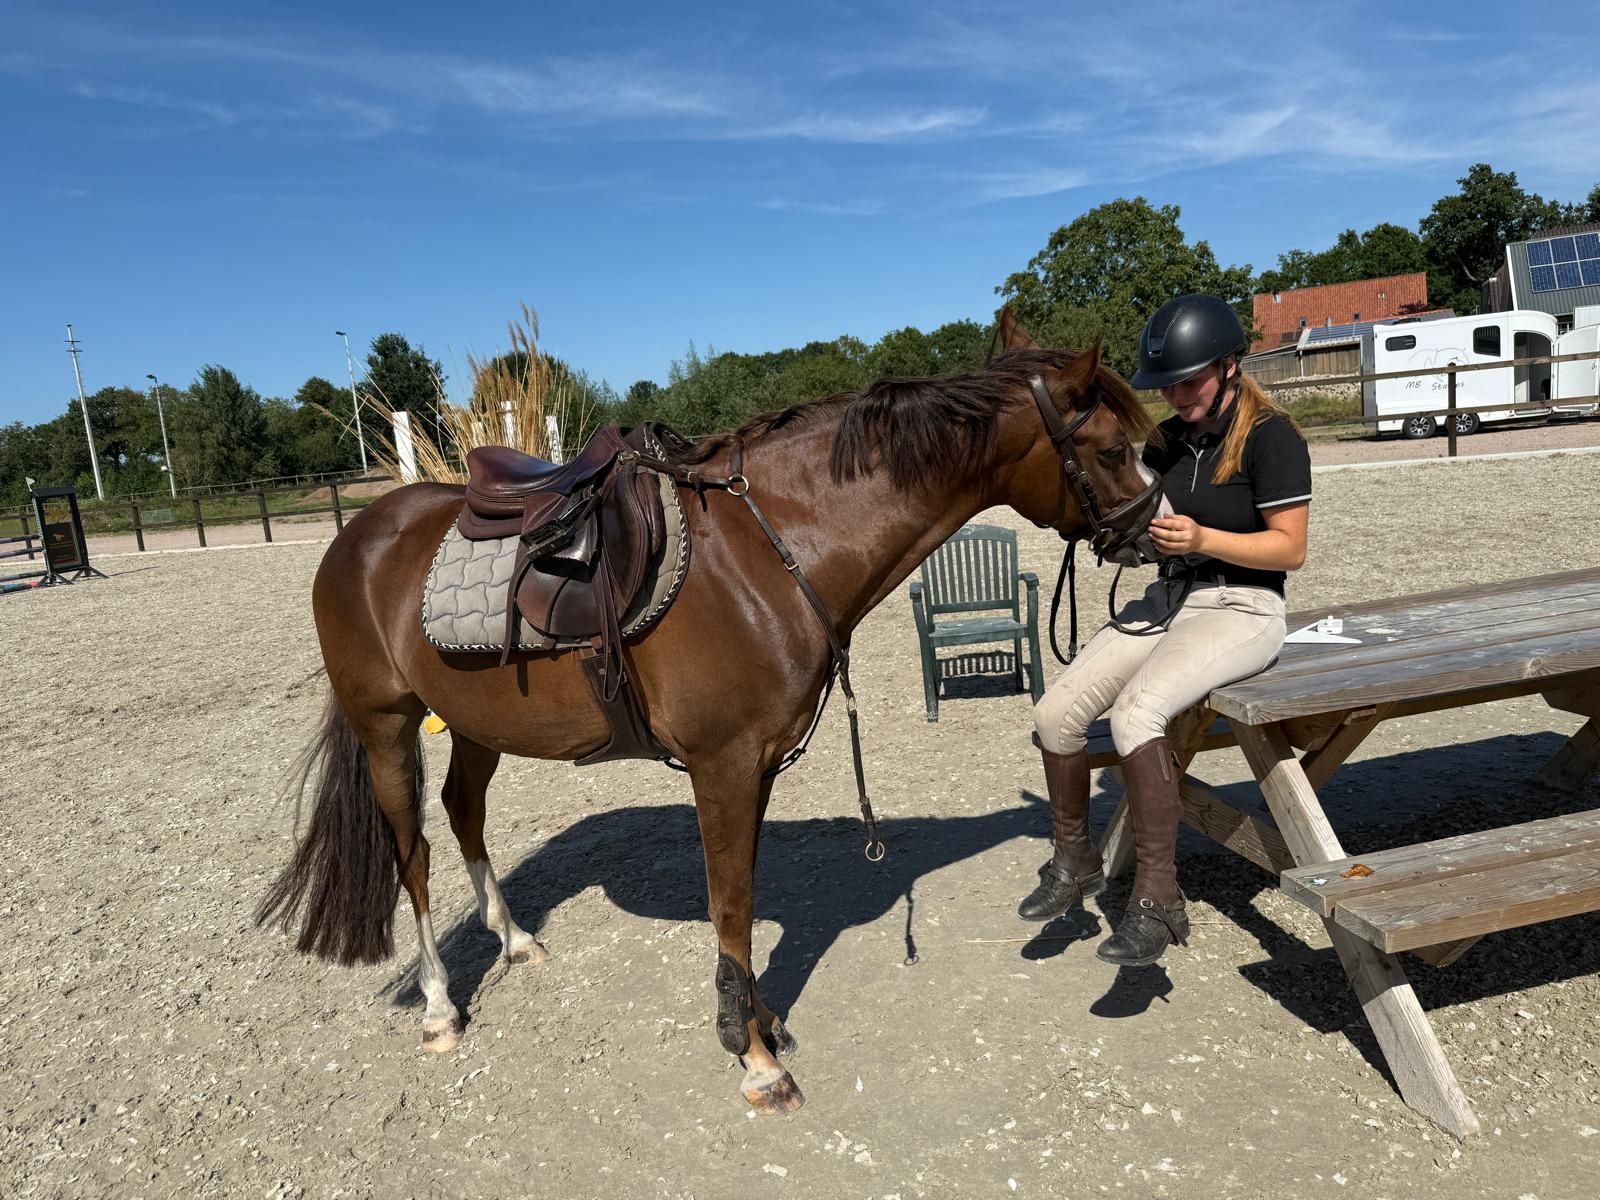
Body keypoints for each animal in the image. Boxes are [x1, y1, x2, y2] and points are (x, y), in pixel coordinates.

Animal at [256, 312, 1161, 1114]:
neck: (769, 551)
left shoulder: (755, 767)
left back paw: (514, 939)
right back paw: (442, 1007)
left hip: (479, 724)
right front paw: (753, 1057)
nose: (1154, 534)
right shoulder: (721, 766)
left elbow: (747, 904)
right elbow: (731, 905)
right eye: (1113, 449)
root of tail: (360, 534)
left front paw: (761, 1022)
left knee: (463, 812)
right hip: (385, 724)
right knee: (411, 852)